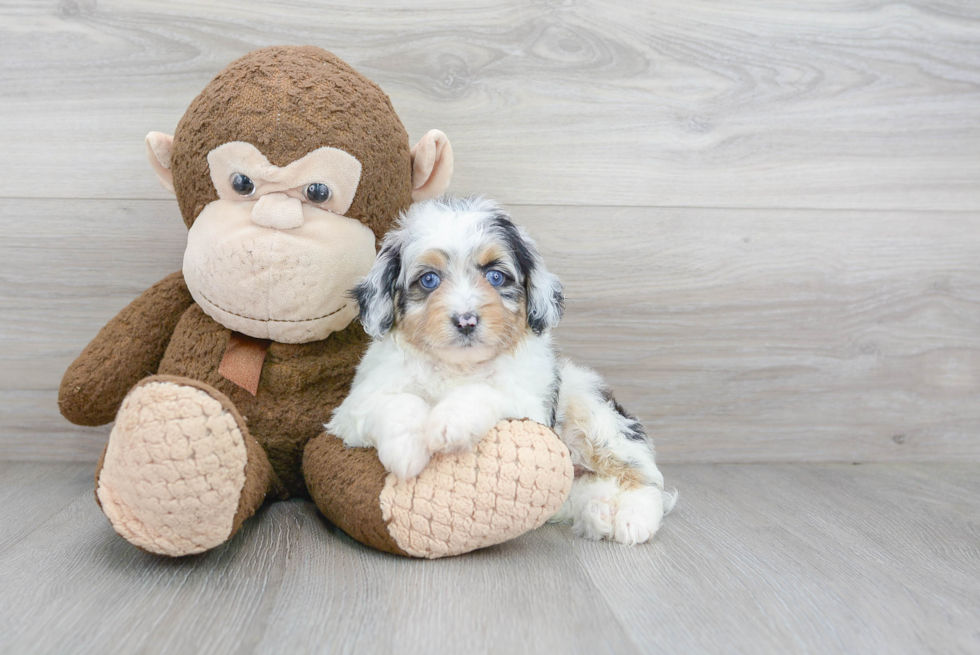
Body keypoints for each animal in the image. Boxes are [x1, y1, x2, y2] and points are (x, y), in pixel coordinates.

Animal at [328, 197, 672, 544]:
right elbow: (397, 401)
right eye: (429, 280)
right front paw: (406, 450)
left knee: (643, 477)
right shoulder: (351, 410)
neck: (458, 365)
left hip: (592, 411)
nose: (466, 320)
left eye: (495, 277)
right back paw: (600, 509)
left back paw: (632, 518)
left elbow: (484, 390)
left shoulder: (530, 411)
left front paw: (450, 423)